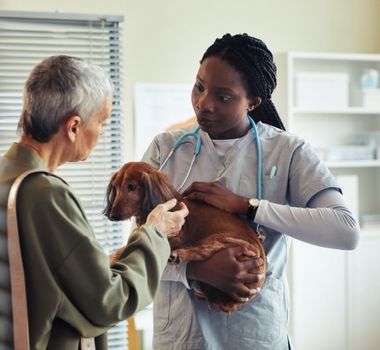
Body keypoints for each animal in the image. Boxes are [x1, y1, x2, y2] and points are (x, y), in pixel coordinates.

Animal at [102, 161, 266, 312]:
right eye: (116, 187)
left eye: (131, 187)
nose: (112, 215)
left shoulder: (174, 237)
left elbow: (132, 245)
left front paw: (114, 256)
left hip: (221, 238)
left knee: (202, 251)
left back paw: (178, 255)